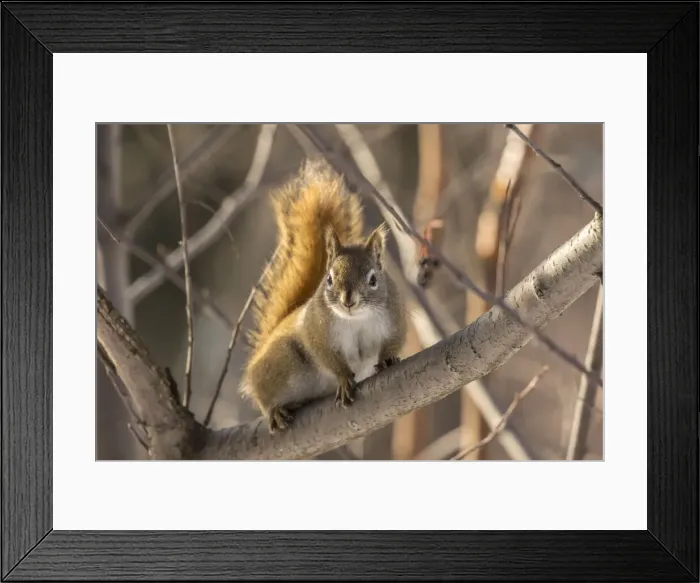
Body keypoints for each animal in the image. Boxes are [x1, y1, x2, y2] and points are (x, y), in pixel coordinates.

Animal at [240, 158, 407, 433]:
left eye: (373, 280)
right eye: (329, 279)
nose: (348, 301)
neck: (356, 319)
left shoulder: (395, 318)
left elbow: (393, 342)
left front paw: (387, 360)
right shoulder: (317, 331)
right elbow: (327, 357)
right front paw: (344, 380)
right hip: (282, 363)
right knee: (263, 396)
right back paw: (275, 411)